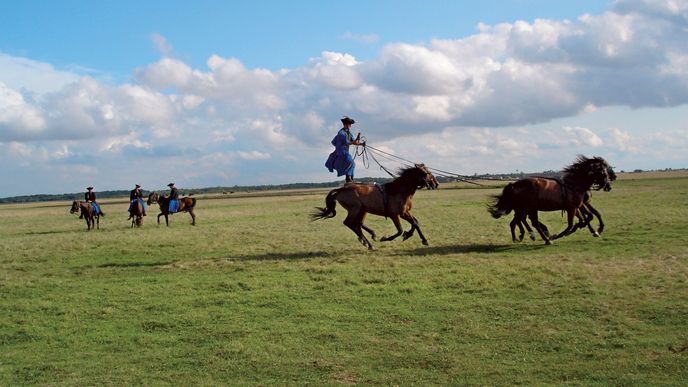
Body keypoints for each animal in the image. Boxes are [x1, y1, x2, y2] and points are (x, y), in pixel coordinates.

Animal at [486, 155, 616, 244]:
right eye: (605, 171)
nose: (609, 185)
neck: (574, 185)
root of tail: (515, 184)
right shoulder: (573, 208)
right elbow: (574, 223)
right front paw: (557, 235)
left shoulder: (577, 206)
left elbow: (588, 217)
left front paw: (593, 230)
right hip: (528, 208)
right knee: (527, 221)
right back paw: (544, 238)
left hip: (528, 208)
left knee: (520, 221)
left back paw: (528, 235)